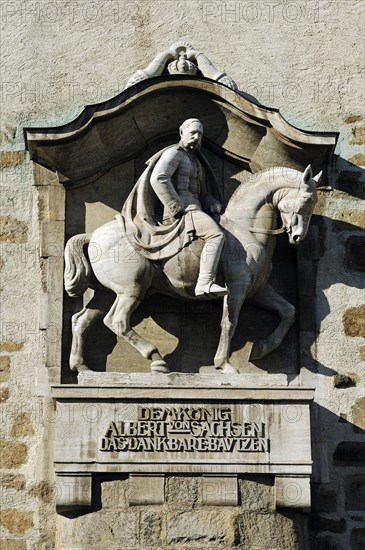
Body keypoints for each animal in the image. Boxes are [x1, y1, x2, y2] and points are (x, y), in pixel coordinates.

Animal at [64, 164, 318, 376]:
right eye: (307, 200)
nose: (298, 237)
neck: (246, 230)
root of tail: (92, 235)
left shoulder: (258, 290)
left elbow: (289, 311)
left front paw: (261, 348)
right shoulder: (238, 285)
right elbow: (229, 322)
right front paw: (224, 365)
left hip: (107, 292)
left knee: (81, 320)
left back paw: (82, 367)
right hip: (133, 288)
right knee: (118, 321)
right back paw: (156, 359)